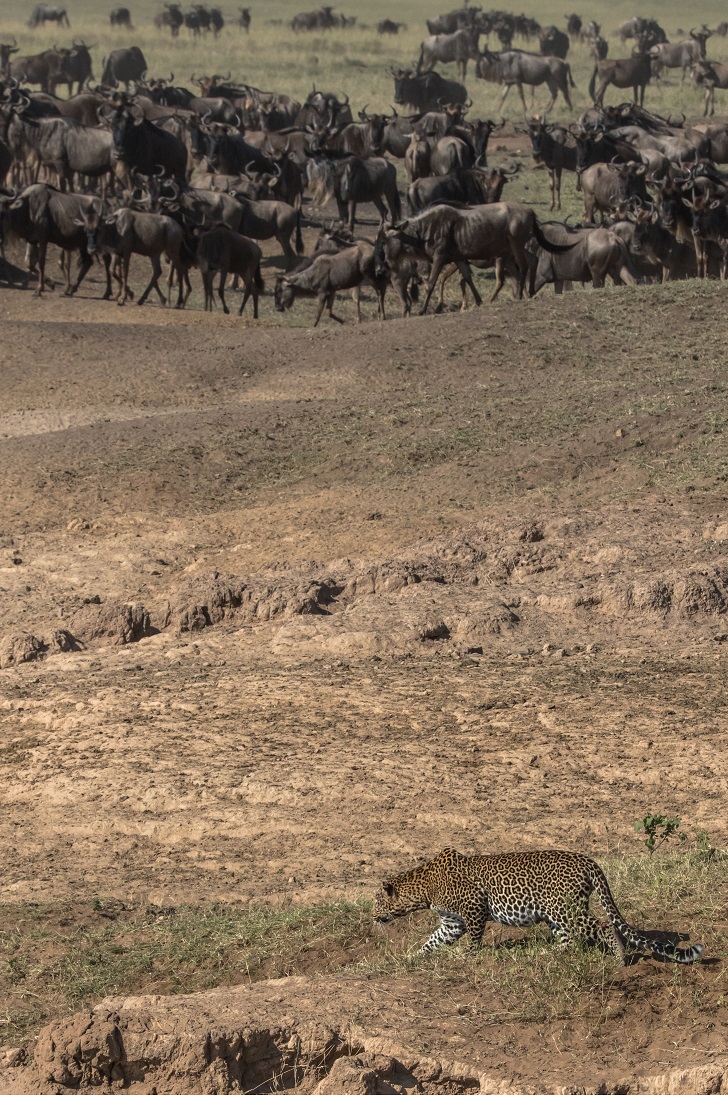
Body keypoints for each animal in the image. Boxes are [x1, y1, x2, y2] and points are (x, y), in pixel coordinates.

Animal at [372, 849, 700, 963]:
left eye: (376, 901)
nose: (373, 918)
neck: (424, 888)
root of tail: (588, 860)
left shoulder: (474, 909)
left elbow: (475, 939)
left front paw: (468, 957)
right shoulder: (452, 923)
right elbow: (432, 941)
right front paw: (412, 957)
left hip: (565, 909)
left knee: (600, 925)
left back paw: (620, 955)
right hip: (556, 915)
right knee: (568, 941)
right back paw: (546, 952)